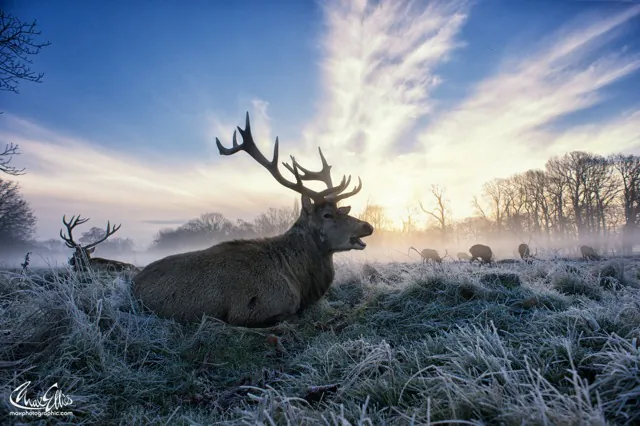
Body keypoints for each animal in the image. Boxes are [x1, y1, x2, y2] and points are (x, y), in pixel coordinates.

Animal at [132, 112, 374, 327]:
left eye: (342, 210)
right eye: (327, 215)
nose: (368, 226)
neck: (300, 282)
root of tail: (133, 284)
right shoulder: (251, 309)